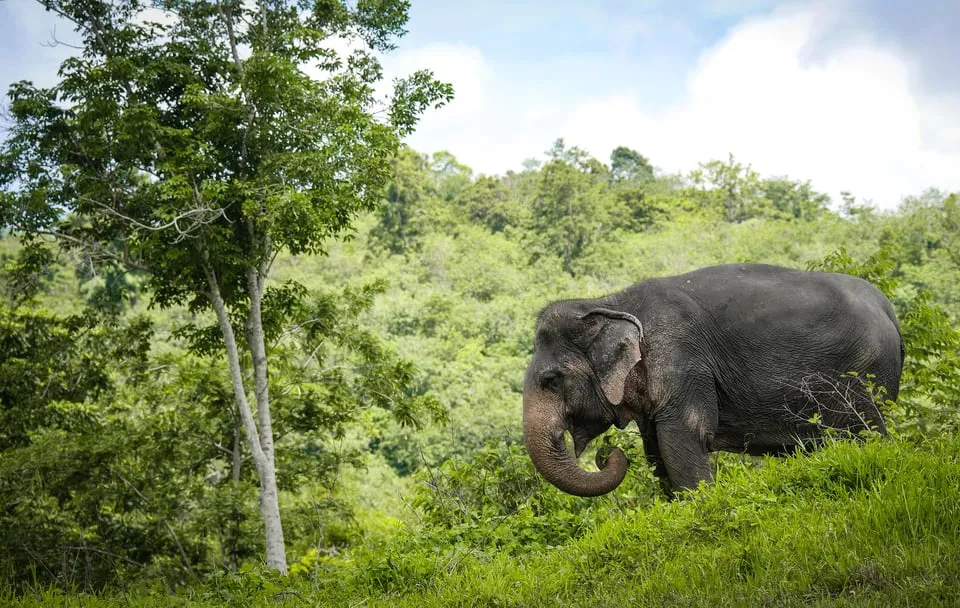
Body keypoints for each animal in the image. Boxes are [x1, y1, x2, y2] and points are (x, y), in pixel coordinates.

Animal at [522, 263, 904, 497]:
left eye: (551, 379)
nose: (606, 455)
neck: (610, 302)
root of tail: (888, 308)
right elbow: (655, 449)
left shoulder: (683, 360)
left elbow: (682, 439)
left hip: (863, 372)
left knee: (866, 432)